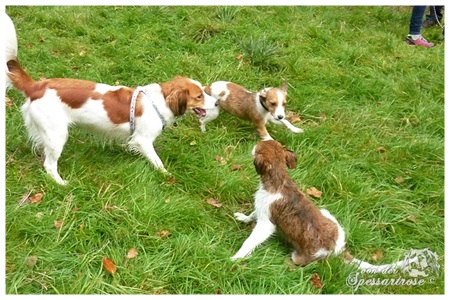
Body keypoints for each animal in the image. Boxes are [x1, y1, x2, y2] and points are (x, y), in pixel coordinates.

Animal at [7, 58, 218, 184]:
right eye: (199, 96)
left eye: (203, 91)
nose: (216, 102)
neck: (160, 100)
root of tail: (37, 86)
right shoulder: (143, 140)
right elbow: (157, 161)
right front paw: (166, 175)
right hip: (57, 135)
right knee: (50, 165)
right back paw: (61, 183)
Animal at [234, 139, 416, 274]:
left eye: (258, 147)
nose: (255, 142)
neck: (279, 181)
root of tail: (338, 251)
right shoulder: (261, 209)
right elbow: (252, 214)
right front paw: (243, 217)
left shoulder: (266, 224)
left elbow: (249, 242)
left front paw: (236, 258)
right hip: (327, 213)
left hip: (298, 257)